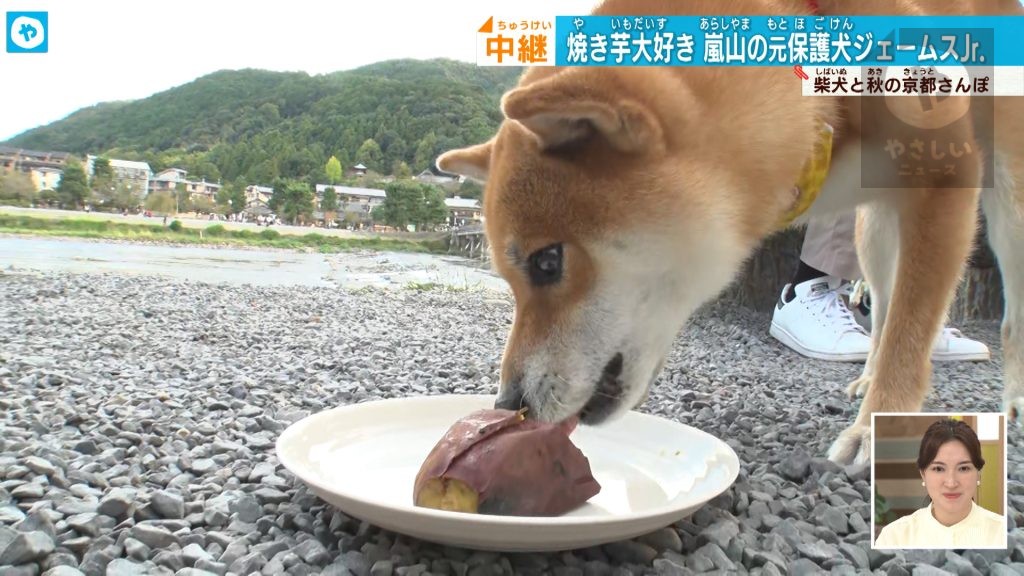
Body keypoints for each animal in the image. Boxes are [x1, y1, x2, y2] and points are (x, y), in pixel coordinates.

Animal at [438, 0, 1024, 461]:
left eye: (547, 262)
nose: (508, 405)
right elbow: (899, 318)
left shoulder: (948, 178)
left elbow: (912, 326)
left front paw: (886, 429)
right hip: (875, 229)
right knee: (882, 303)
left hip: (1004, 194)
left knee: (997, 316)